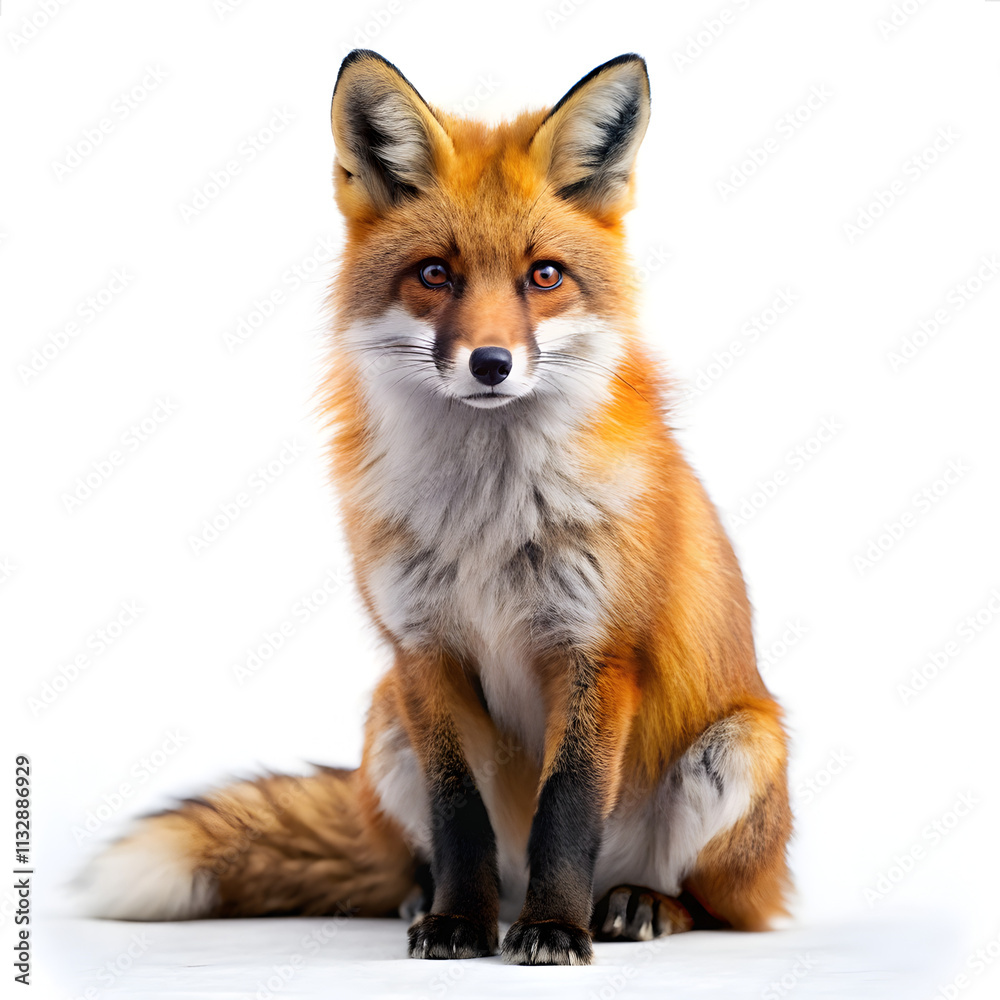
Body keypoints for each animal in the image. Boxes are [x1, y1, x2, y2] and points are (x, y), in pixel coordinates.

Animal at [83, 50, 792, 966]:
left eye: (544, 275)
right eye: (434, 273)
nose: (491, 363)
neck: (487, 518)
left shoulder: (598, 650)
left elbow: (568, 807)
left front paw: (554, 930)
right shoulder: (423, 652)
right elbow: (460, 816)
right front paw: (459, 922)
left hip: (740, 748)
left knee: (722, 905)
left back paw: (635, 906)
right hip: (384, 719)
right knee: (439, 853)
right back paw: (431, 900)